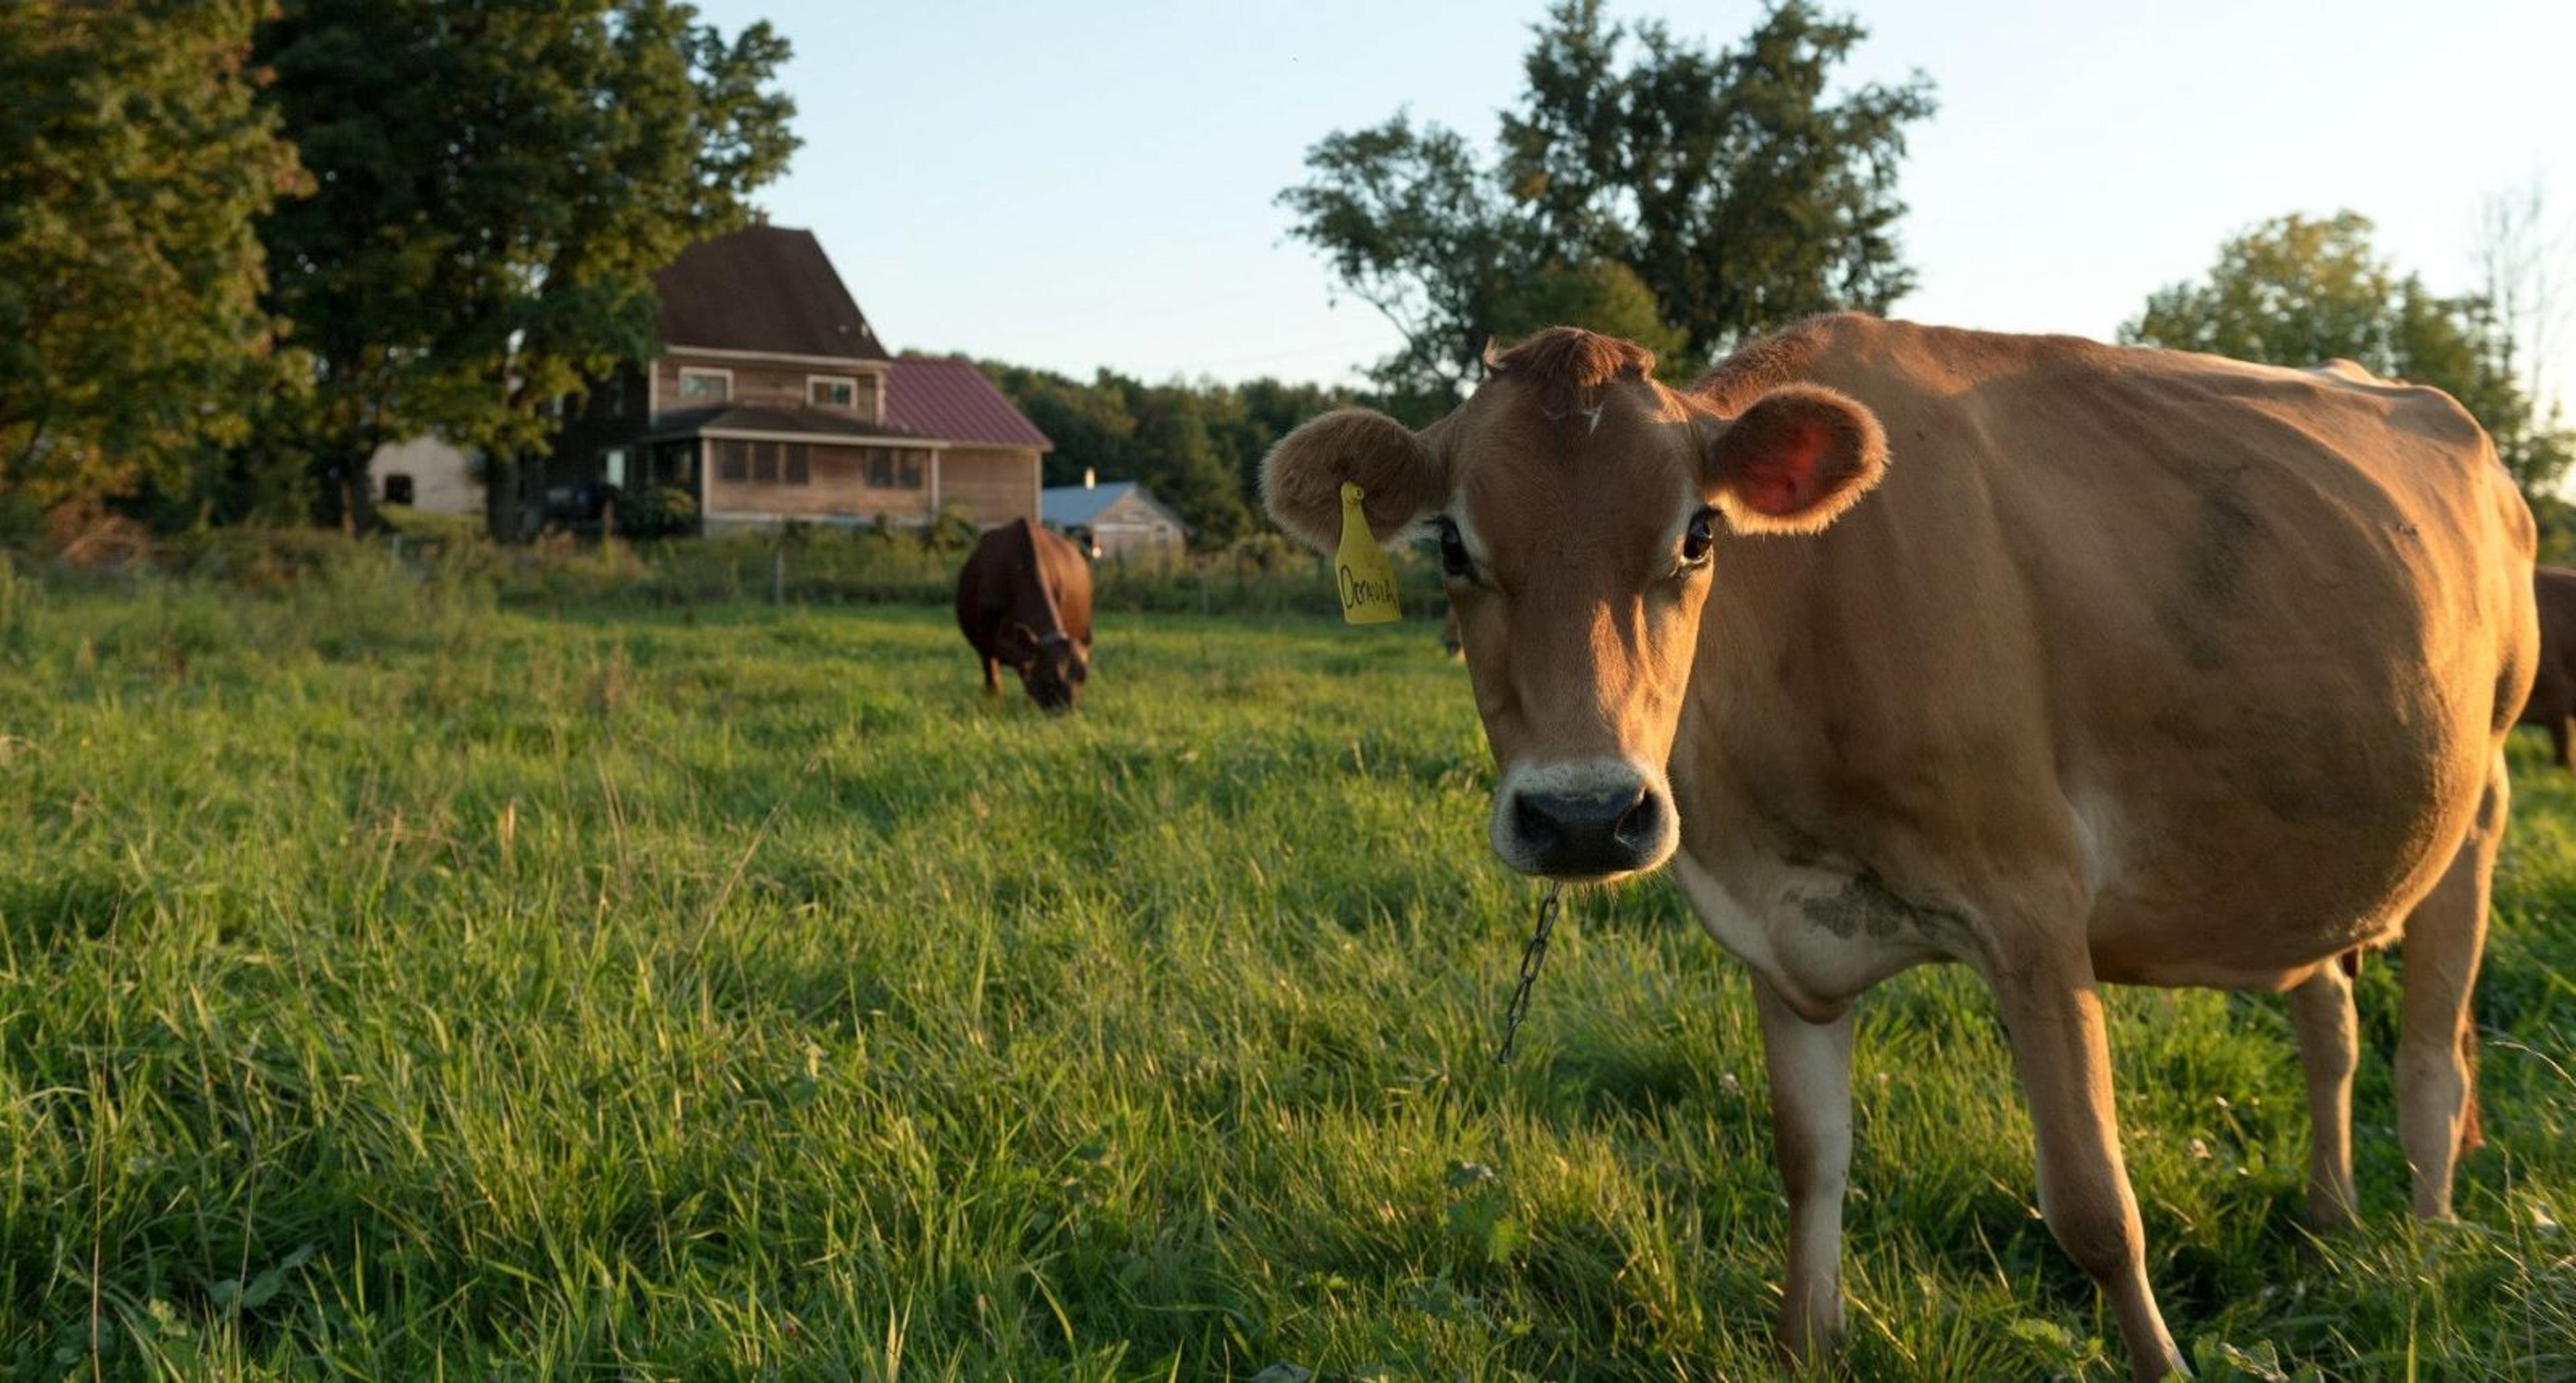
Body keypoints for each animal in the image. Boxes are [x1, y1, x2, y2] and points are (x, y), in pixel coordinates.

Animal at [1262, 318, 2534, 1370]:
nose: (1584, 814)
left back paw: (2425, 1246)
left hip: (2482, 791)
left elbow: (2095, 1206)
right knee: (2331, 1015)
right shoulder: (1778, 931)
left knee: (2434, 1052)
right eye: (1451, 547)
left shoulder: (2033, 906)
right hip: (2307, 847)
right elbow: (1809, 1157)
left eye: (1698, 534)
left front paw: (2166, 1362)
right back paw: (2328, 1213)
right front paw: (1807, 1344)